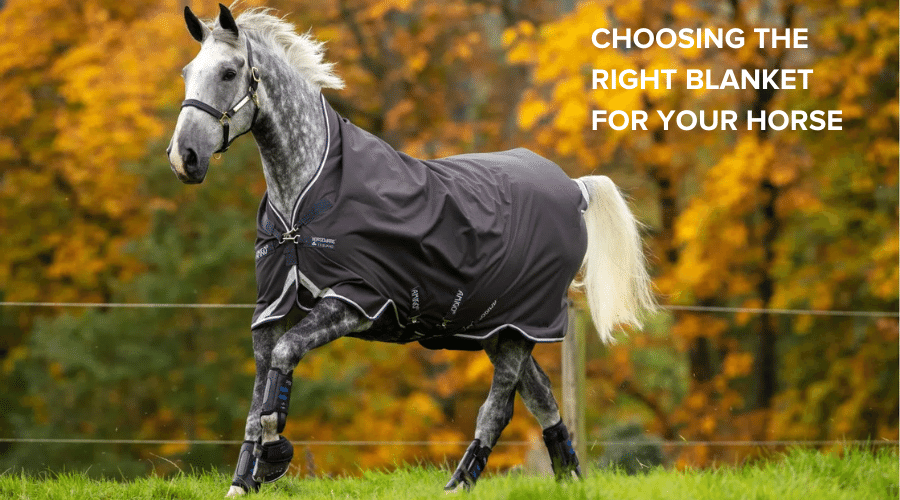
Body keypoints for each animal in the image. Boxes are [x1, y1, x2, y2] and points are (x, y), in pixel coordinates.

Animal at [166, 4, 655, 497]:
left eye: (229, 72)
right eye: (187, 72)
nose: (183, 158)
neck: (305, 203)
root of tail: (574, 188)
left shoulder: (354, 301)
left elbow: (283, 363)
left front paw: (273, 459)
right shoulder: (270, 308)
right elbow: (256, 401)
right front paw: (243, 481)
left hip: (522, 325)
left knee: (497, 409)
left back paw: (459, 484)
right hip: (499, 328)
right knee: (542, 397)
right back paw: (567, 477)